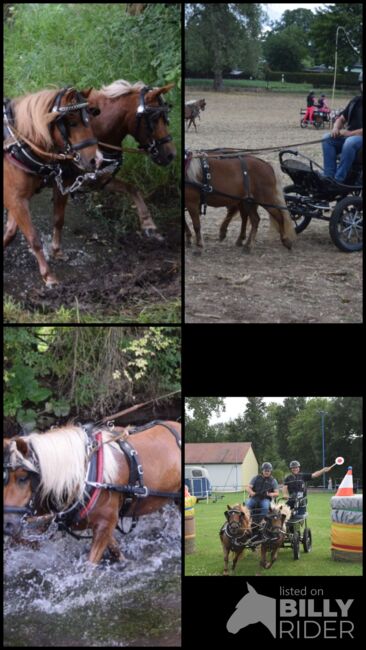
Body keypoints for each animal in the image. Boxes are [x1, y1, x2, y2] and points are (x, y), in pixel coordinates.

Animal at [2, 420, 180, 560]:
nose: (6, 524)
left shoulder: (105, 524)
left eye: (23, 478)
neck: (85, 477)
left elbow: (90, 564)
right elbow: (115, 551)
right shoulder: (102, 525)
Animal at [3, 86, 101, 286]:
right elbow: (33, 237)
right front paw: (48, 275)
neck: (19, 143)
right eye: (71, 122)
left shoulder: (21, 197)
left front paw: (56, 252)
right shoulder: (16, 199)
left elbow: (55, 220)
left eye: (90, 119)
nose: (94, 161)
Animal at [50, 81, 177, 264]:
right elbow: (58, 218)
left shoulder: (98, 179)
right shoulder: (64, 181)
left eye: (165, 118)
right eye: (154, 119)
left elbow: (132, 189)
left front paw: (149, 225)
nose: (171, 155)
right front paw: (56, 250)